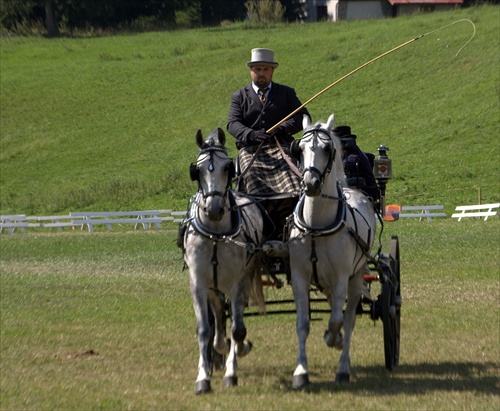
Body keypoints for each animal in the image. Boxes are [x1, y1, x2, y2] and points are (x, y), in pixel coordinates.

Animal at [181, 127, 266, 394]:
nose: (215, 209)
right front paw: (203, 377)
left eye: (227, 167)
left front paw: (232, 370)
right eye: (197, 170)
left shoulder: (236, 282)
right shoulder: (198, 283)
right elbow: (204, 329)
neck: (216, 234)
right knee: (218, 313)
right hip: (213, 286)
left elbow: (238, 329)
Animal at [288, 114, 376, 388]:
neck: (317, 225)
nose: (311, 184)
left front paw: (332, 339)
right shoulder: (300, 277)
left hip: (356, 277)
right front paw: (300, 372)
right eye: (300, 149)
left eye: (327, 149)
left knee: (348, 319)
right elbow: (302, 325)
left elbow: (338, 320)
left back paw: (343, 366)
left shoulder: (341, 278)